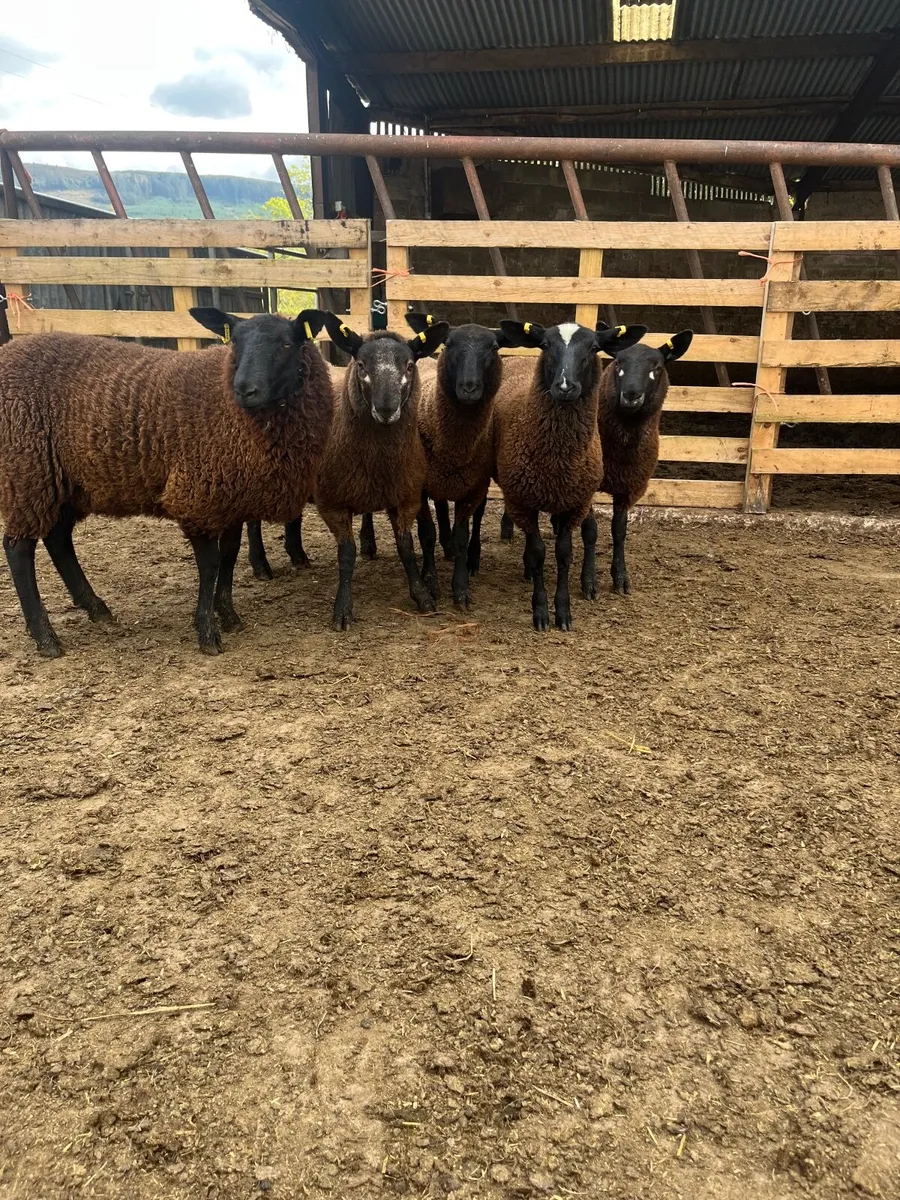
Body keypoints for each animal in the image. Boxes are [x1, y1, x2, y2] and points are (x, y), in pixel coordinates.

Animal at [0, 308, 332, 657]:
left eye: (286, 343)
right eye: (235, 342)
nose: (244, 389)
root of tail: (9, 350)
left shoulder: (231, 498)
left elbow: (229, 556)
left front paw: (228, 615)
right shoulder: (197, 496)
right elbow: (211, 565)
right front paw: (207, 632)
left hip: (64, 484)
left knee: (58, 540)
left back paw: (96, 609)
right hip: (27, 471)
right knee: (18, 549)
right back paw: (46, 637)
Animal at [315, 313, 449, 631]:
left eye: (409, 365)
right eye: (362, 365)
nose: (386, 409)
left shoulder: (405, 496)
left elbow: (406, 547)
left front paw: (422, 596)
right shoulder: (332, 504)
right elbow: (346, 555)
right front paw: (342, 609)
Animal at [493, 319, 647, 631]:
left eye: (594, 347)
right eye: (545, 345)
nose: (565, 387)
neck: (557, 461)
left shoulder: (574, 504)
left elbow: (564, 554)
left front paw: (563, 612)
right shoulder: (523, 501)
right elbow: (539, 554)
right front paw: (540, 613)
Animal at [596, 327, 693, 594]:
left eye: (657, 367)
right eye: (618, 362)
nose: (631, 395)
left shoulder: (628, 486)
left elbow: (619, 531)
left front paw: (620, 578)